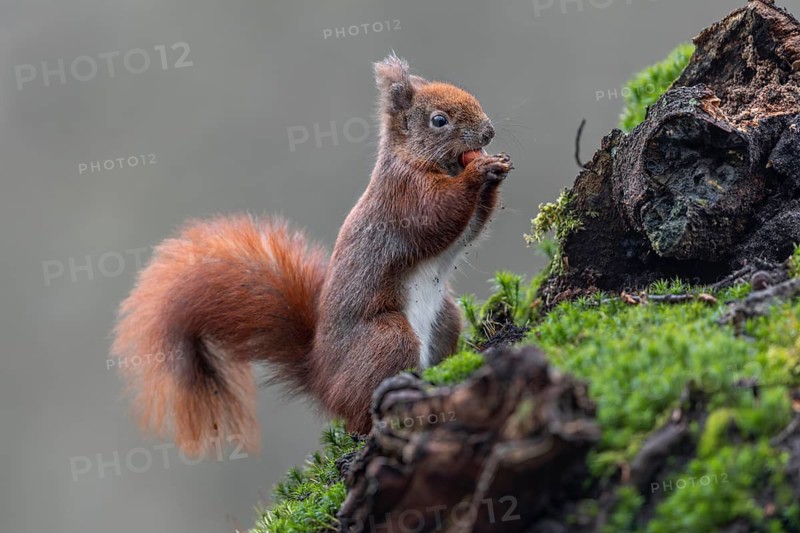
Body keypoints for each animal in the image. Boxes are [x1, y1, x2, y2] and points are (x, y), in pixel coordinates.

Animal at [111, 54, 513, 456]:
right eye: (439, 120)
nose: (489, 133)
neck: (415, 159)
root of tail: (323, 378)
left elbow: (472, 224)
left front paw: (497, 167)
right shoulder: (405, 195)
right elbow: (439, 213)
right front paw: (478, 171)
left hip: (446, 319)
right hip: (387, 338)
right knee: (360, 414)